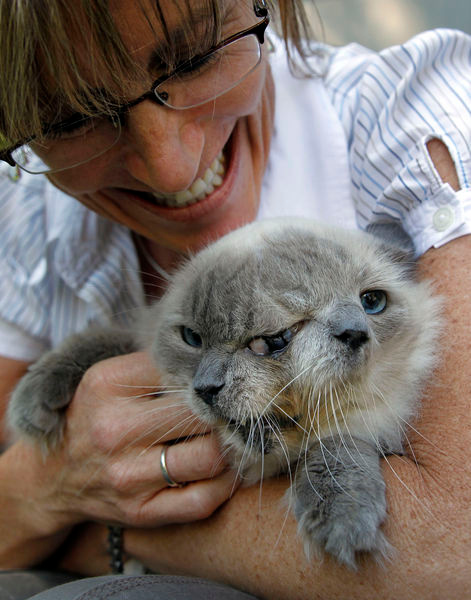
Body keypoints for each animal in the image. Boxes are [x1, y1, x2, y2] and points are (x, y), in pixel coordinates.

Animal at [7, 217, 442, 568]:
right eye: (192, 339)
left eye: (372, 302)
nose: (207, 388)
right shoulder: (140, 341)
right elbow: (105, 342)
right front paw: (35, 404)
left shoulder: (376, 424)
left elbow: (337, 446)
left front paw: (344, 522)